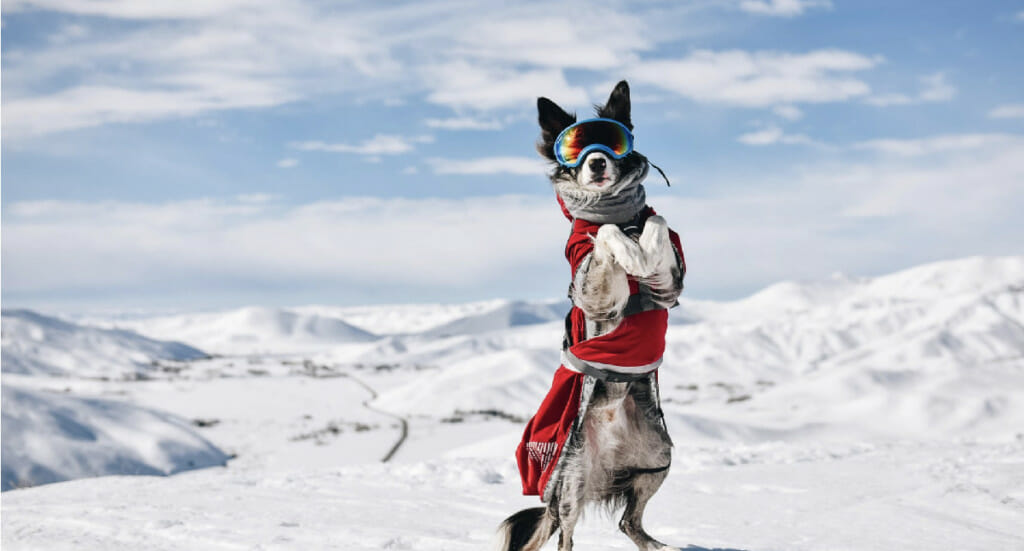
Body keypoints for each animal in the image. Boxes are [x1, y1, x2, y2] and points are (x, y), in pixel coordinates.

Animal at [497, 79, 688, 544]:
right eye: (577, 147)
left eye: (611, 140)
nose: (598, 162)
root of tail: (607, 464)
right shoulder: (592, 290)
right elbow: (603, 233)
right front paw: (628, 249)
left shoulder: (671, 285)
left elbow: (657, 222)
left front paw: (642, 247)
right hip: (571, 480)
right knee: (567, 535)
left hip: (658, 458)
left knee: (628, 522)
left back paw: (664, 548)